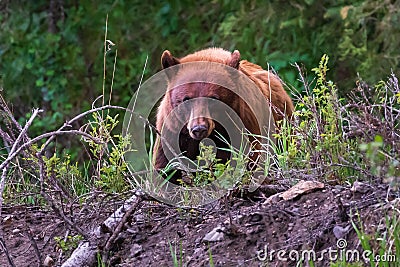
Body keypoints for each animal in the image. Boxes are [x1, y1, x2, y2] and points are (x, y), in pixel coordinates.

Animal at [153, 47, 294, 184]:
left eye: (213, 99)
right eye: (186, 99)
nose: (199, 129)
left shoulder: (243, 126)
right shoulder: (172, 132)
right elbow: (165, 167)